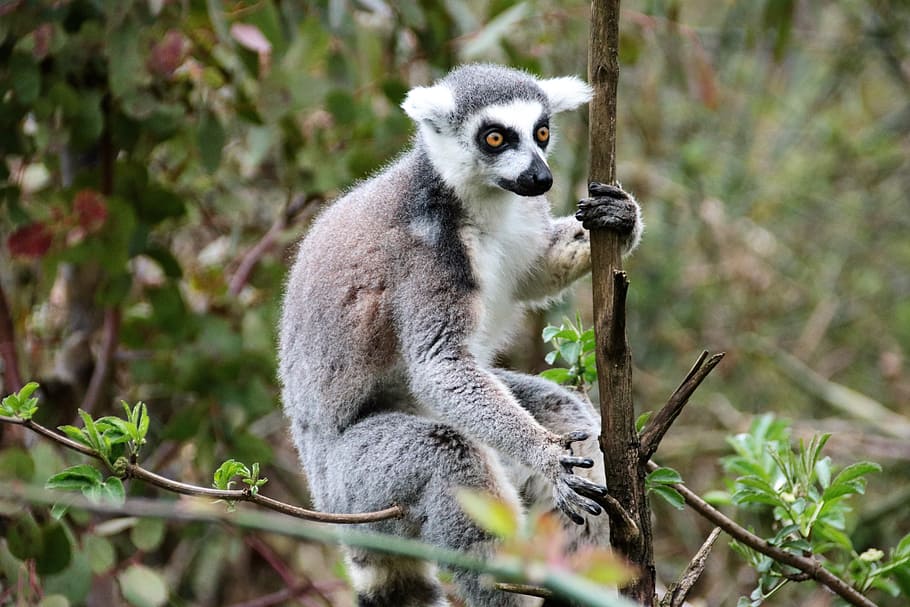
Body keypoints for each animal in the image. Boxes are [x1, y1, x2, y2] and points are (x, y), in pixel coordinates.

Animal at [278, 64, 642, 607]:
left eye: (542, 133)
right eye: (494, 137)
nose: (540, 178)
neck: (480, 202)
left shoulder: (522, 223)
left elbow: (536, 272)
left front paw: (621, 216)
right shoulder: (426, 255)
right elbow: (440, 365)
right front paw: (548, 457)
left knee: (563, 411)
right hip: (357, 485)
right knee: (449, 458)